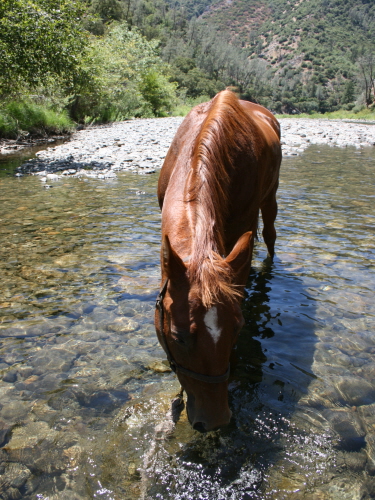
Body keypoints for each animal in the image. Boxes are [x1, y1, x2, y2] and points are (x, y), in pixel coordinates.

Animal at [154, 91, 280, 434]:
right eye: (178, 337)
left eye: (238, 328)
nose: (215, 421)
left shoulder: (242, 228)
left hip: (271, 199)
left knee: (271, 236)